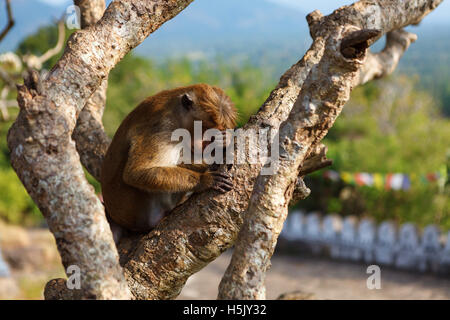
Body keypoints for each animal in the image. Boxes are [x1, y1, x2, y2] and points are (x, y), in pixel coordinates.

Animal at [100, 84, 237, 239]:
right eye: (204, 129)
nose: (204, 143)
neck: (175, 112)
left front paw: (224, 142)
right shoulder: (162, 127)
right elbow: (136, 173)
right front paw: (204, 180)